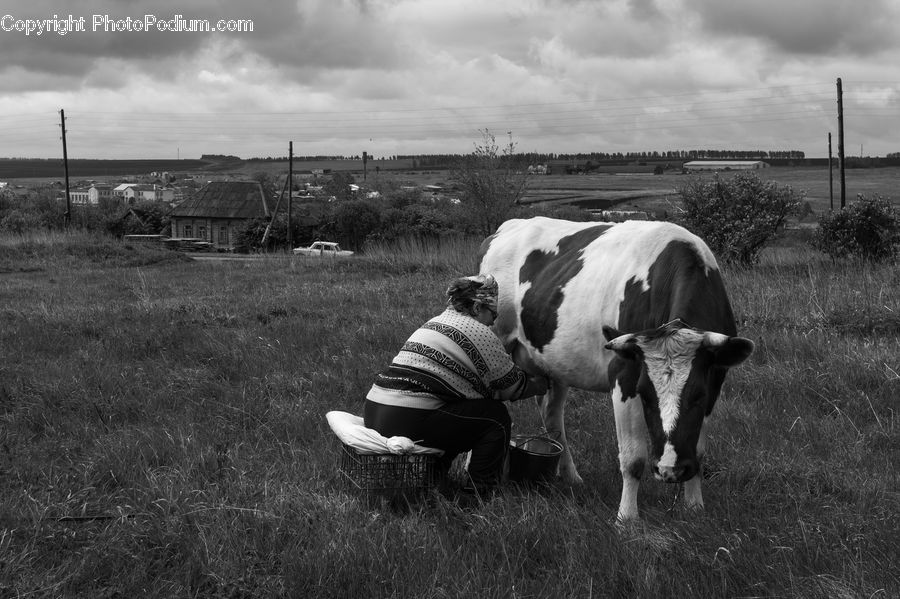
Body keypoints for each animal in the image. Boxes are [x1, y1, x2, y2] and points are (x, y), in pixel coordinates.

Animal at [479, 217, 754, 520]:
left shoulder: (715, 381)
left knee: (551, 413)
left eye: (698, 395)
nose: (669, 470)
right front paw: (627, 518)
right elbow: (633, 459)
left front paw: (694, 507)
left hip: (555, 361)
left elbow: (700, 451)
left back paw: (570, 476)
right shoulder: (624, 374)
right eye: (645, 395)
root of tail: (508, 226)